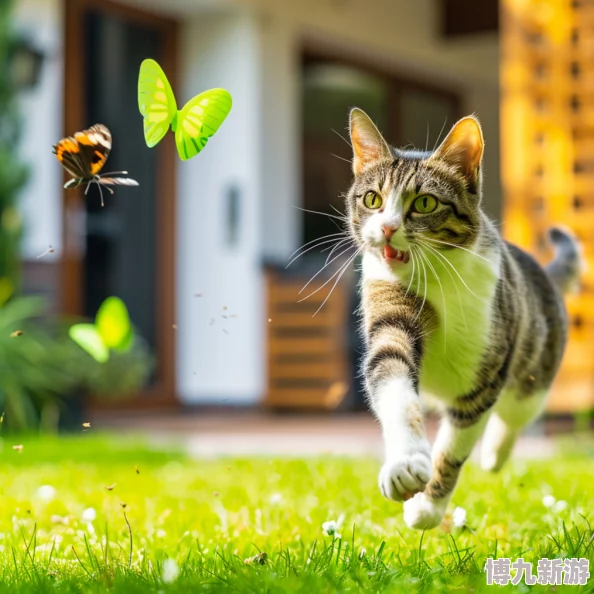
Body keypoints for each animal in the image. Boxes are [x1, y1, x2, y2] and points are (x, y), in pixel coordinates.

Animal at [344, 106, 580, 528]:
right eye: (372, 199)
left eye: (424, 203)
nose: (387, 228)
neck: (436, 277)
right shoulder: (388, 305)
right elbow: (392, 376)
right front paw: (405, 463)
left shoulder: (483, 376)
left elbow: (453, 448)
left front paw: (427, 507)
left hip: (531, 374)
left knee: (515, 413)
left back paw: (493, 454)